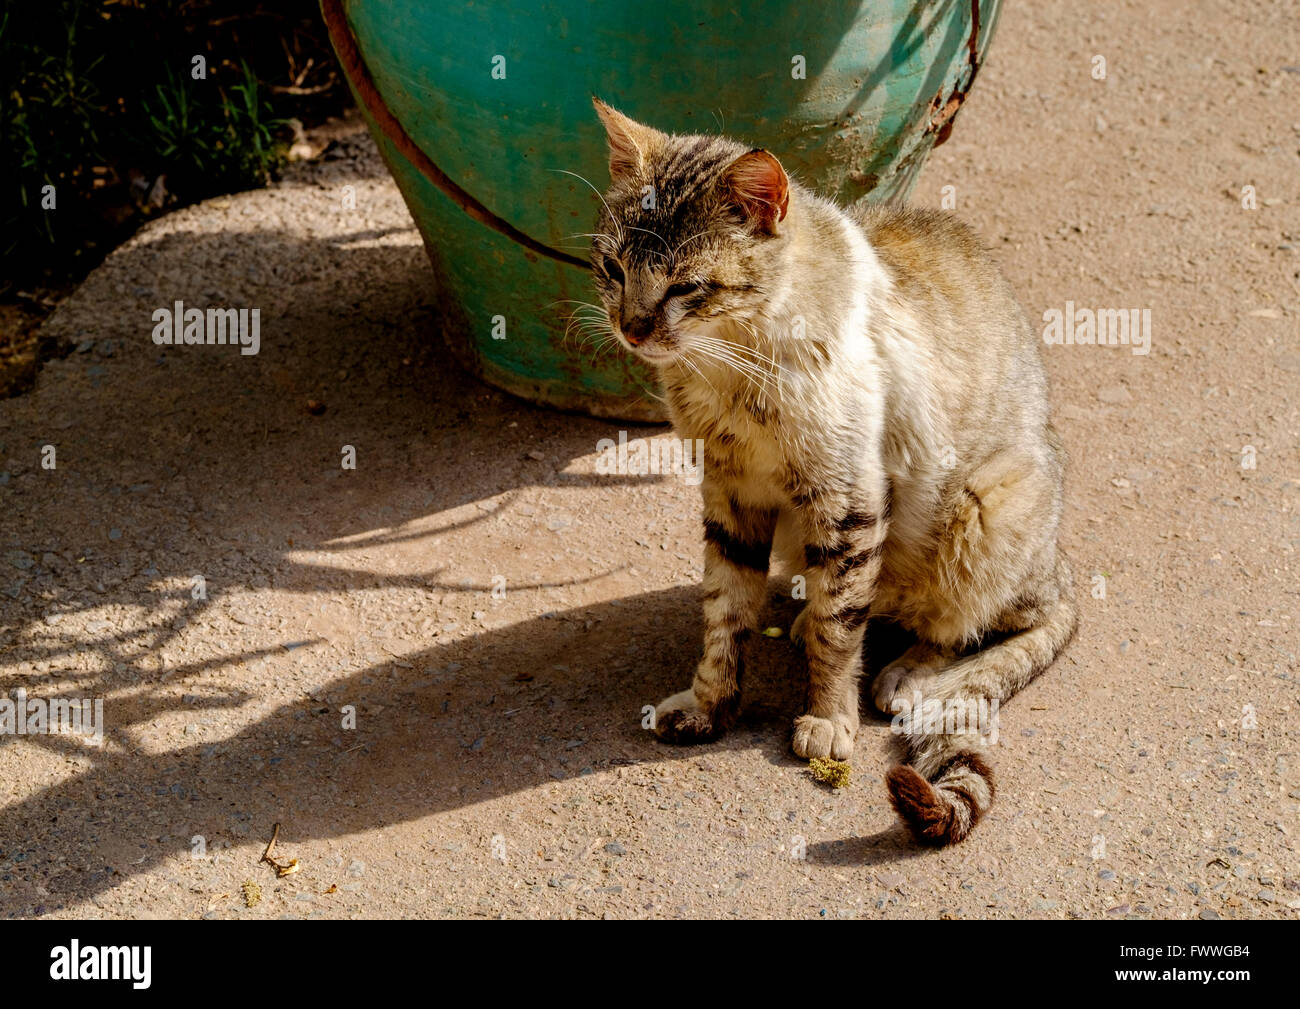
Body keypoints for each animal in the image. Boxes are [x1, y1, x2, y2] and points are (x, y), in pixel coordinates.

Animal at [590, 100, 1076, 842]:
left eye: (686, 286)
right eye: (613, 267)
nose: (631, 328)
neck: (729, 370)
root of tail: (1060, 565)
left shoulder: (848, 497)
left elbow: (837, 629)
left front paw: (826, 716)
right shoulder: (730, 494)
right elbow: (725, 610)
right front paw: (710, 704)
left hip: (988, 503)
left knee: (990, 624)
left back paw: (909, 674)